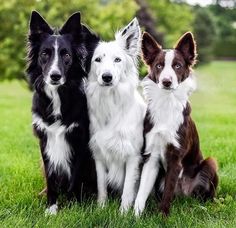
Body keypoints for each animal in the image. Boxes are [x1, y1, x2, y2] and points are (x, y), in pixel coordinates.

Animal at [26, 11, 98, 216]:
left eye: (66, 54)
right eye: (44, 54)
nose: (55, 76)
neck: (58, 97)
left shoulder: (79, 140)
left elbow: (74, 178)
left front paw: (73, 206)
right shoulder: (45, 140)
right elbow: (51, 179)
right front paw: (51, 208)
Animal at [86, 18, 146, 213]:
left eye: (117, 60)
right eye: (97, 60)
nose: (107, 77)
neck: (111, 102)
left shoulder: (133, 157)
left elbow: (127, 189)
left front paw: (124, 213)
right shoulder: (98, 155)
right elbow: (101, 186)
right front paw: (101, 208)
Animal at [134, 31, 218, 216]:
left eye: (177, 66)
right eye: (159, 66)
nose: (166, 81)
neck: (167, 102)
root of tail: (183, 194)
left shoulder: (175, 157)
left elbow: (168, 191)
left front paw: (162, 217)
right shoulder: (152, 155)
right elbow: (141, 191)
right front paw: (134, 215)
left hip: (210, 163)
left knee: (206, 197)